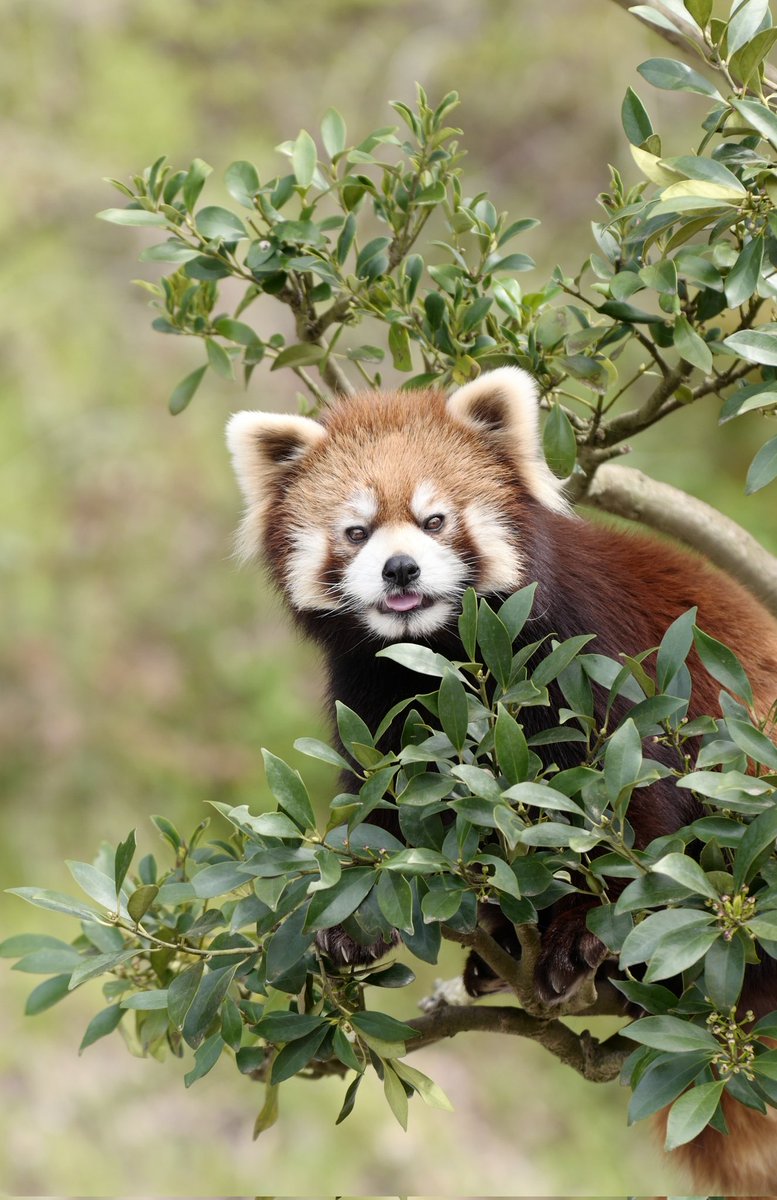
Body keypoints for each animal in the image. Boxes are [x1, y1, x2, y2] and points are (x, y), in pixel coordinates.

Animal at [224, 369, 777, 1195]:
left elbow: (638, 811)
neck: (439, 652)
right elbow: (388, 815)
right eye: (355, 531)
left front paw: (585, 936)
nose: (399, 569)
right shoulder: (374, 694)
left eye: (434, 519)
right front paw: (355, 921)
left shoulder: (591, 657)